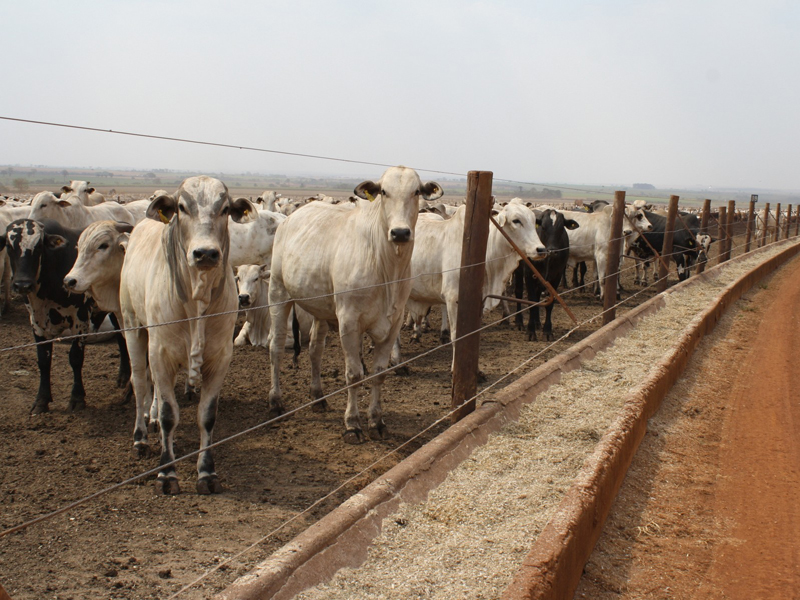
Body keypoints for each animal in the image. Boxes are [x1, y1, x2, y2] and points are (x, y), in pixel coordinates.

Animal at [0, 219, 128, 412]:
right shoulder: (36, 323)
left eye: (39, 247)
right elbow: (43, 360)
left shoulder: (80, 319)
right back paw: (123, 376)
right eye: (9, 245)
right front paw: (41, 400)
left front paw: (77, 397)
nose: (22, 284)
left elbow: (75, 357)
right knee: (121, 337)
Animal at [119, 176, 255, 494]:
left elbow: (207, 416)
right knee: (141, 383)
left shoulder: (220, 359)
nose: (205, 253)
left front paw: (206, 472)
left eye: (225, 209)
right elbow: (169, 415)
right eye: (181, 207)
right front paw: (167, 473)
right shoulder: (160, 354)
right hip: (133, 328)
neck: (197, 300)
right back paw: (141, 438)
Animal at [268, 166, 444, 442]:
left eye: (416, 191)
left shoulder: (393, 323)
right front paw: (352, 423)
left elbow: (379, 373)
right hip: (278, 293)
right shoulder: (349, 322)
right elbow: (354, 374)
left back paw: (318, 396)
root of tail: (289, 218)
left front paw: (376, 421)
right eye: (384, 192)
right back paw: (275, 402)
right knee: (275, 348)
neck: (387, 269)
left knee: (315, 351)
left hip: (321, 308)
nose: (400, 233)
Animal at [516, 210, 580, 342]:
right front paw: (530, 331)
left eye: (561, 228)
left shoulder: (557, 276)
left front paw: (547, 331)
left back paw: (537, 323)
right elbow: (531, 302)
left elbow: (549, 304)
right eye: (543, 227)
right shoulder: (528, 274)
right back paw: (519, 322)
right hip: (519, 271)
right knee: (518, 292)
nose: (552, 250)